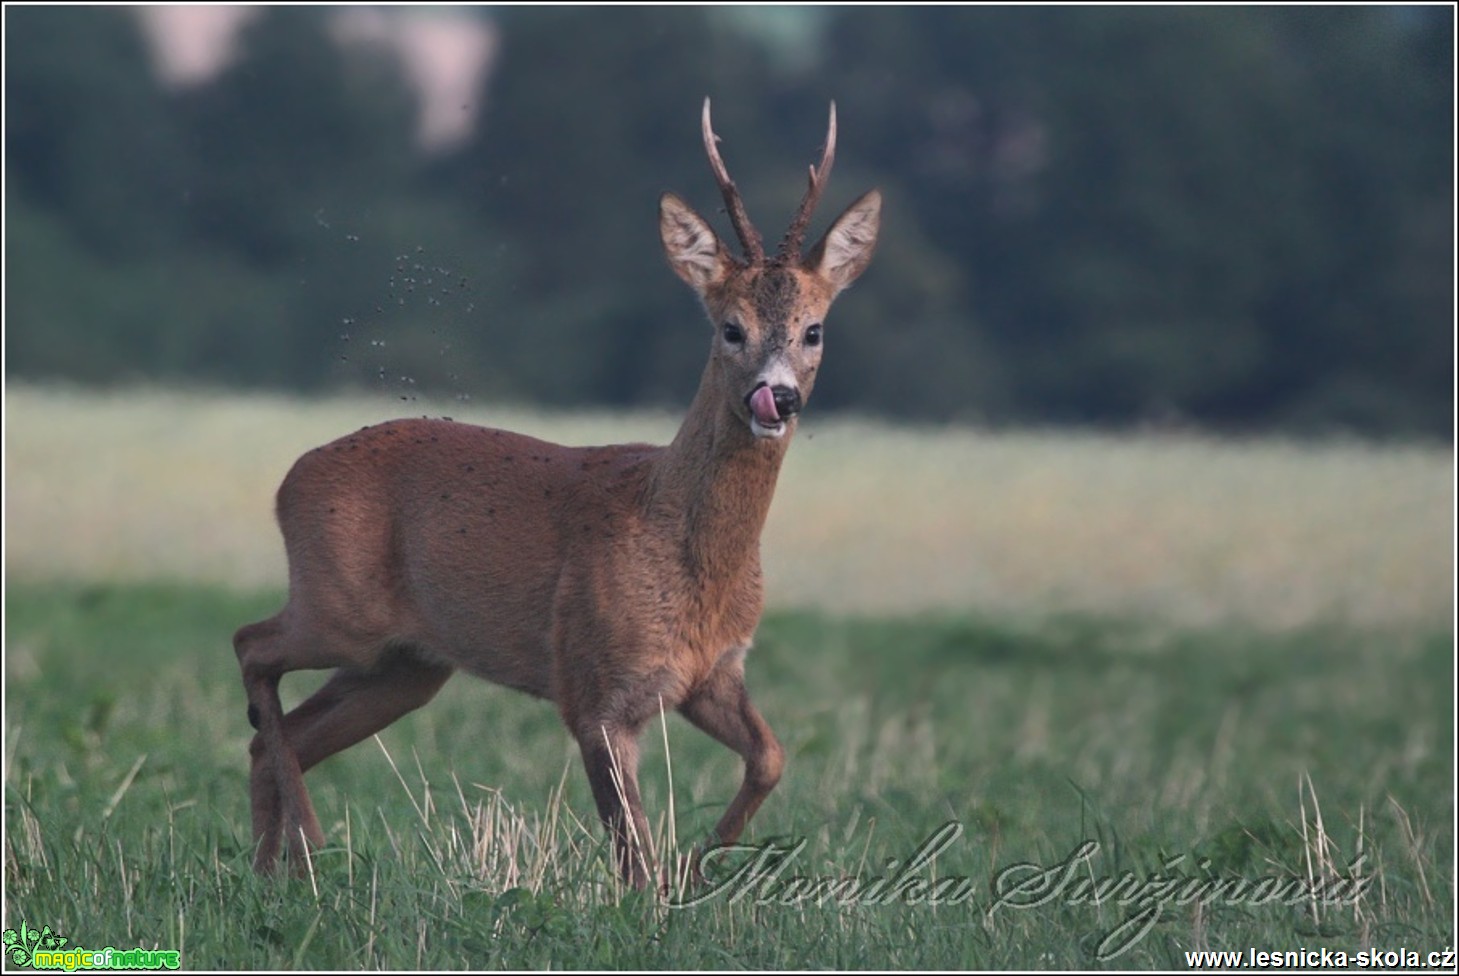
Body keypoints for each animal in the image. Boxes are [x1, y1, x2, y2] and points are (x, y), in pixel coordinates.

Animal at [233, 97, 881, 881]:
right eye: (731, 328)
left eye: (813, 330)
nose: (777, 398)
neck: (687, 552)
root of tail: (287, 479)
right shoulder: (592, 685)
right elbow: (633, 852)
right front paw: (664, 892)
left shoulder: (711, 674)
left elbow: (770, 758)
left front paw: (700, 865)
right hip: (341, 611)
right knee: (250, 646)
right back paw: (305, 843)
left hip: (404, 665)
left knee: (273, 735)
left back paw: (274, 869)